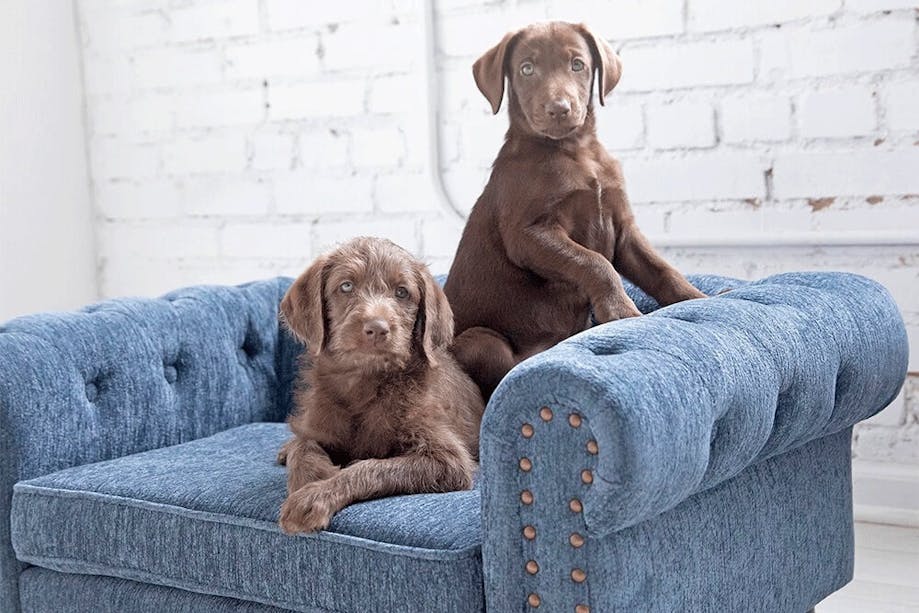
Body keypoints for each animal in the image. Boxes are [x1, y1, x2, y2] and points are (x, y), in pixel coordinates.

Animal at [276, 237, 486, 532]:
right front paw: (311, 477)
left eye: (402, 292)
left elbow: (373, 466)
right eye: (346, 286)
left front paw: (316, 496)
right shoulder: (317, 424)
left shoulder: (449, 460)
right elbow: (303, 445)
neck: (364, 382)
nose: (377, 328)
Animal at [446, 21, 704, 400]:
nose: (559, 108)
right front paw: (622, 311)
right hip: (480, 341)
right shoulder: (530, 234)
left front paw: (702, 299)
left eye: (577, 64)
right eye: (526, 69)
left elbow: (662, 269)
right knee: (505, 374)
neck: (575, 150)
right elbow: (595, 263)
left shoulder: (622, 228)